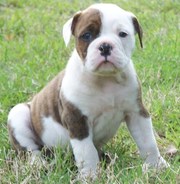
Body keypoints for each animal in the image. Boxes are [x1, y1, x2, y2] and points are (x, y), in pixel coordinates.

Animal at [8, 2, 169, 178]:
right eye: (86, 35)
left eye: (122, 34)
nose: (105, 46)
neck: (105, 80)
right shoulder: (77, 121)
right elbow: (86, 152)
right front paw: (90, 176)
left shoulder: (137, 112)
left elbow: (148, 141)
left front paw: (156, 166)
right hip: (18, 115)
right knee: (31, 150)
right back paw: (39, 165)